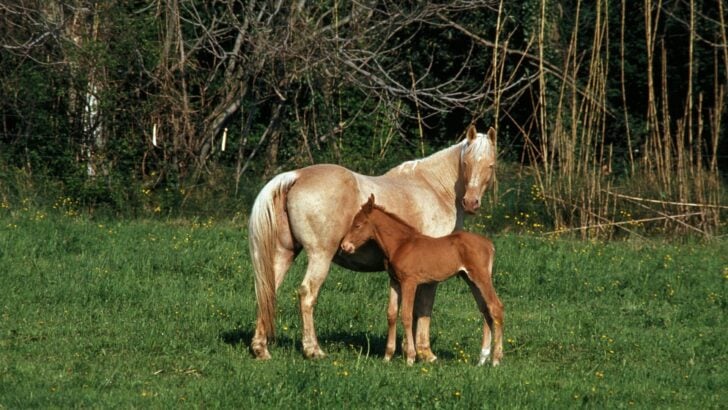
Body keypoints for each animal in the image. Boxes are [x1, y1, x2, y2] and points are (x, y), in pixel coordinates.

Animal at [340, 194, 504, 366]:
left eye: (357, 225)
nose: (344, 246)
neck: (400, 244)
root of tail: (489, 244)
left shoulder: (409, 282)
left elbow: (406, 315)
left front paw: (410, 357)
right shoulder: (395, 281)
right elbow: (391, 314)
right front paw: (387, 356)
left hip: (481, 277)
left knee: (496, 307)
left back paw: (496, 359)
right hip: (470, 279)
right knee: (485, 309)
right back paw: (482, 358)